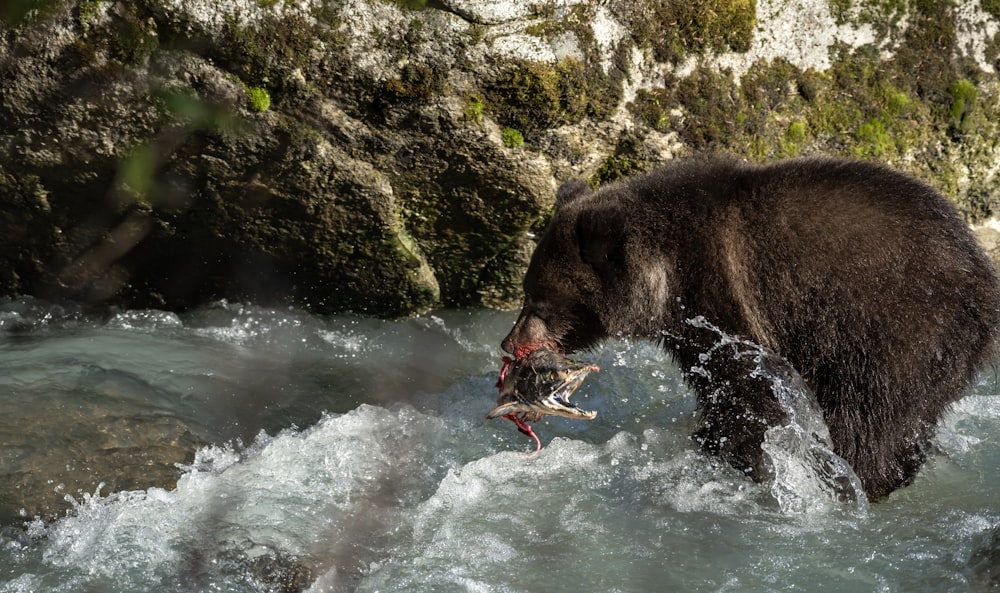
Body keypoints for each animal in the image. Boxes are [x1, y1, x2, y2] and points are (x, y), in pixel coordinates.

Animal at [504, 155, 1000, 498]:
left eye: (537, 299)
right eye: (527, 292)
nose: (510, 342)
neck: (666, 279)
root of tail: (983, 286)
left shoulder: (724, 299)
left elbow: (748, 386)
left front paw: (740, 451)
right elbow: (718, 386)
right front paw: (712, 438)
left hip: (898, 327)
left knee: (870, 415)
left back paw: (859, 473)